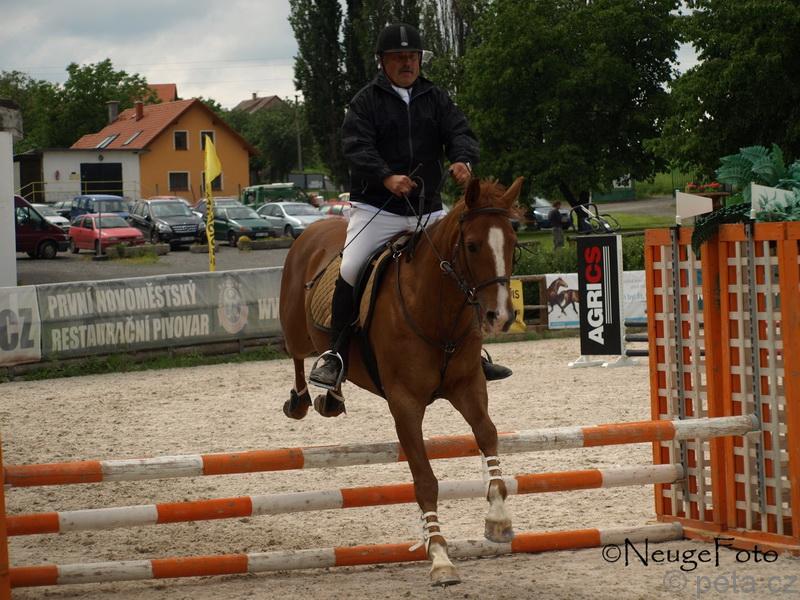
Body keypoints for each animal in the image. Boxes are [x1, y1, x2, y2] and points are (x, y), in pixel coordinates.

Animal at [279, 177, 523, 586]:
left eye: (512, 243)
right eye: (472, 245)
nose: (500, 317)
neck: (437, 311)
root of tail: (314, 227)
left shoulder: (469, 387)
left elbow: (488, 435)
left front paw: (499, 520)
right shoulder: (405, 403)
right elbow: (425, 480)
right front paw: (439, 557)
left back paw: (332, 396)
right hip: (295, 330)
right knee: (298, 356)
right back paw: (303, 397)